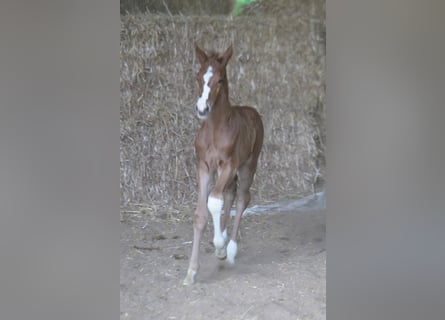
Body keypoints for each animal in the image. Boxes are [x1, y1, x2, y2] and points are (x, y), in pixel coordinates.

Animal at [183, 44, 264, 284]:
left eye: (220, 79)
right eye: (198, 76)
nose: (202, 109)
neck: (214, 130)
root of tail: (253, 111)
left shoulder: (229, 164)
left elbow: (214, 201)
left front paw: (220, 246)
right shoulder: (203, 167)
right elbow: (201, 214)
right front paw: (191, 272)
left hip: (248, 165)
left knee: (242, 198)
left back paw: (231, 249)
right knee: (230, 194)